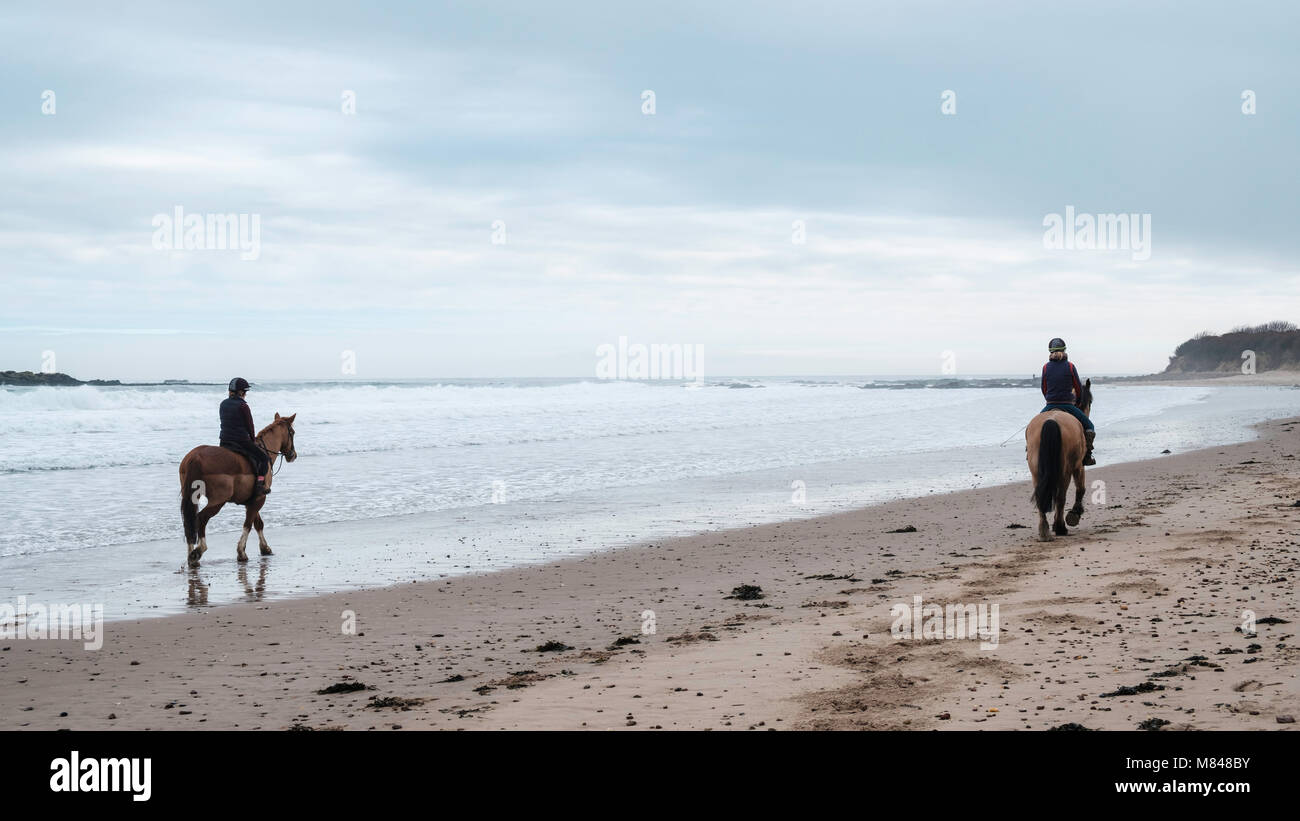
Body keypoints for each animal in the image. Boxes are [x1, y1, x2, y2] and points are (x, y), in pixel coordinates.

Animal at [179, 413, 297, 566]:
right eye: (292, 432)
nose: (293, 455)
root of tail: (196, 457)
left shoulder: (251, 501)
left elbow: (258, 523)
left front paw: (265, 548)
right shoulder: (260, 498)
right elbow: (248, 524)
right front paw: (241, 552)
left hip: (191, 496)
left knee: (190, 522)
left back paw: (191, 555)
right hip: (218, 501)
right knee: (201, 518)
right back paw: (198, 551)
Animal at [1019, 381, 1092, 543]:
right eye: (1090, 401)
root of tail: (1051, 421)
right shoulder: (1078, 466)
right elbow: (1081, 489)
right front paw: (1075, 514)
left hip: (1036, 472)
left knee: (1041, 496)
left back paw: (1044, 530)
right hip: (1065, 472)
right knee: (1060, 497)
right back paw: (1060, 527)